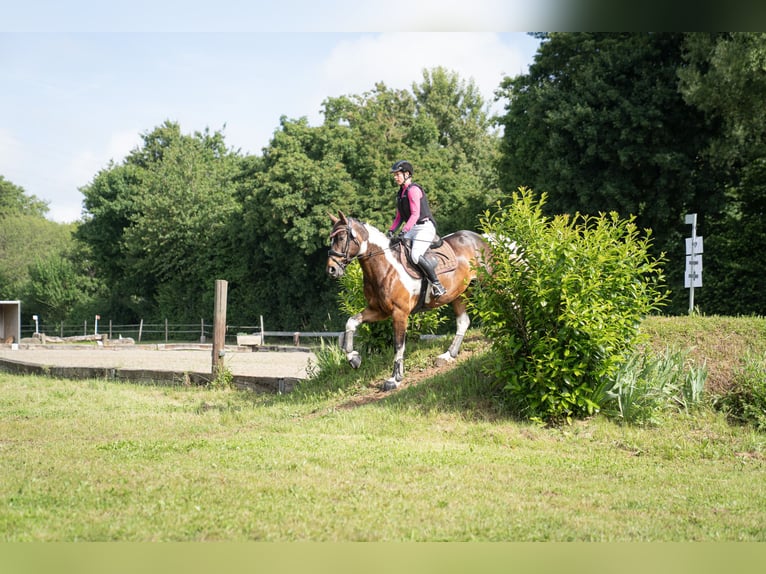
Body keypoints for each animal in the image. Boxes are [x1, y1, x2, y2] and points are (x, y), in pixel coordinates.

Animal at [326, 211, 491, 391]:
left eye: (341, 237)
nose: (331, 269)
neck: (385, 267)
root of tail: (479, 237)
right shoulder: (379, 310)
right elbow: (351, 322)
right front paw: (353, 358)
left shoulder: (400, 313)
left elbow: (398, 345)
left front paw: (394, 379)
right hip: (459, 294)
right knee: (463, 321)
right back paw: (448, 355)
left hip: (490, 280)